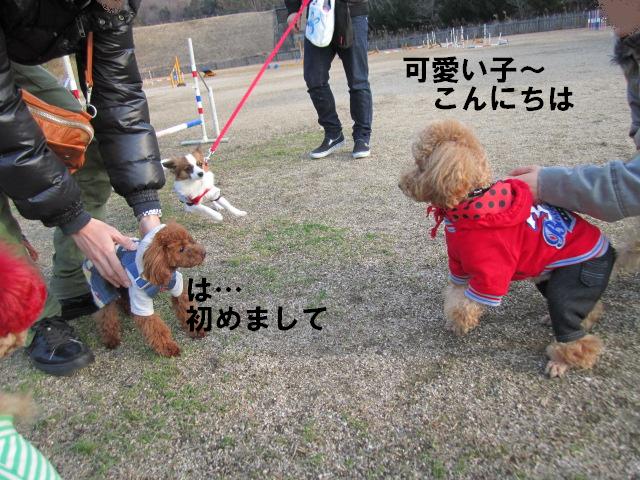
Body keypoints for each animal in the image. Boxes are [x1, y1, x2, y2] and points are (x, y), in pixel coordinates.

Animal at [83, 223, 206, 357]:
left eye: (190, 241)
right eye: (181, 249)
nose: (204, 253)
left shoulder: (177, 286)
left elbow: (185, 307)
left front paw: (196, 330)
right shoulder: (141, 299)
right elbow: (155, 327)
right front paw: (168, 347)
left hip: (122, 282)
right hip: (101, 286)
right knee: (106, 314)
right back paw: (111, 338)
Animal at [399, 119, 617, 377]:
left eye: (421, 164)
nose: (401, 184)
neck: (471, 205)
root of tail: (610, 251)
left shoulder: (491, 274)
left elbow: (465, 305)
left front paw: (459, 324)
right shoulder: (459, 266)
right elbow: (456, 295)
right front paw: (453, 320)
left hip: (574, 280)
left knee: (575, 330)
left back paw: (562, 360)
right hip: (547, 277)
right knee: (589, 308)